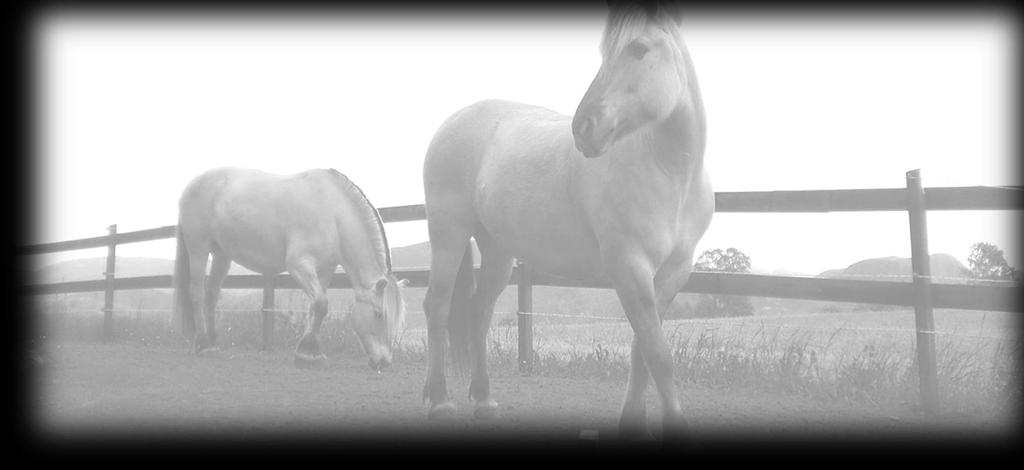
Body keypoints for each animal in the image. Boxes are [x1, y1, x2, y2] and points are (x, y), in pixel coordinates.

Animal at [173, 166, 407, 370]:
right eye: (379, 315)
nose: (384, 362)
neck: (332, 213)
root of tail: (190, 185)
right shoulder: (298, 264)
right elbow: (320, 304)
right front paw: (308, 353)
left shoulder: (324, 271)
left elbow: (316, 308)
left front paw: (309, 352)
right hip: (198, 249)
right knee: (196, 293)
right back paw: (202, 345)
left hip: (222, 256)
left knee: (212, 295)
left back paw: (213, 342)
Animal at [417, 0, 712, 442]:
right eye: (604, 53)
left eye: (639, 48)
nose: (583, 128)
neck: (668, 171)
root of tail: (452, 123)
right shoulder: (629, 268)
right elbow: (658, 354)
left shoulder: (674, 272)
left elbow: (643, 350)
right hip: (448, 235)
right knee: (436, 307)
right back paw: (439, 402)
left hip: (497, 251)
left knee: (478, 313)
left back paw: (485, 402)